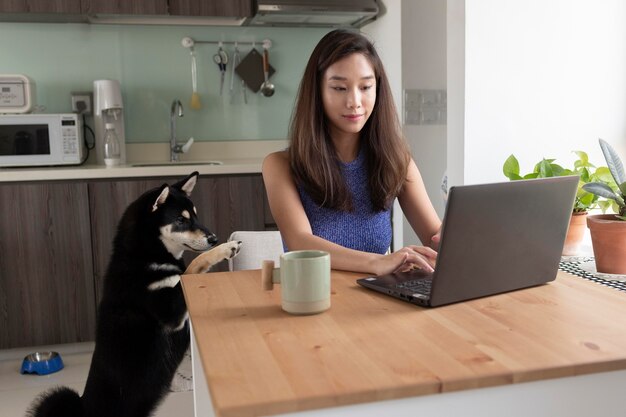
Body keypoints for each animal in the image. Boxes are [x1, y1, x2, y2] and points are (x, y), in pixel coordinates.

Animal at [30, 171, 243, 414]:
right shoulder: (170, 311)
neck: (145, 257)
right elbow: (193, 266)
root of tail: (83, 406)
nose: (214, 239)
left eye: (196, 216)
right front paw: (225, 249)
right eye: (181, 220)